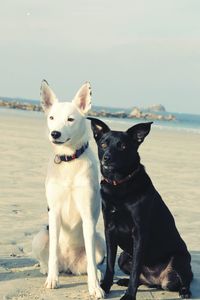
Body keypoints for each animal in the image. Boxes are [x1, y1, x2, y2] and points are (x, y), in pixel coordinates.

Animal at [32, 81, 105, 298]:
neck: (69, 161)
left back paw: (97, 275)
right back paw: (47, 270)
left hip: (100, 242)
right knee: (49, 259)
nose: (55, 133)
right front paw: (52, 280)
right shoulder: (54, 212)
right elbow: (53, 254)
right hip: (41, 236)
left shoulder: (88, 216)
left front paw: (95, 288)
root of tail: (69, 266)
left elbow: (91, 262)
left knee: (91, 263)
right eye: (51, 118)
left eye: (70, 119)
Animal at [88, 118, 192, 300]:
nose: (107, 158)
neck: (119, 184)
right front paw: (105, 286)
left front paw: (129, 295)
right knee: (145, 280)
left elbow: (136, 270)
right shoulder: (110, 230)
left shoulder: (139, 233)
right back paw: (125, 281)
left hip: (180, 260)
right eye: (103, 144)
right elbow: (110, 264)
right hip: (123, 257)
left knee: (184, 281)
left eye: (123, 146)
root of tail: (157, 279)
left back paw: (185, 291)